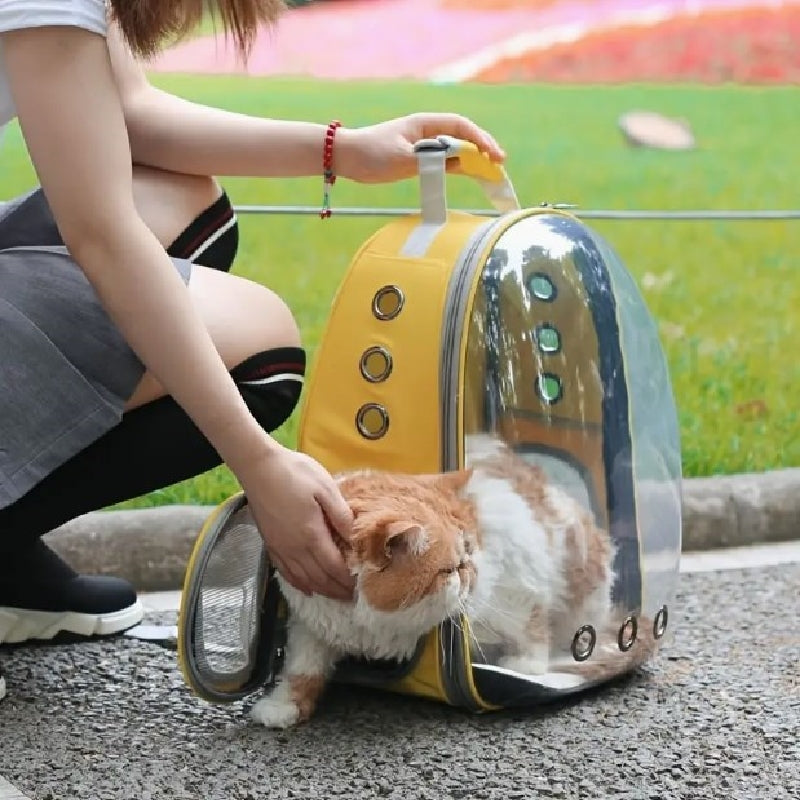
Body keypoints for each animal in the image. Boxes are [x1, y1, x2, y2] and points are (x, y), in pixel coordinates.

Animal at [252, 434, 656, 728]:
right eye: (449, 569)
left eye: (469, 551)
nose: (470, 570)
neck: (369, 623)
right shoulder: (310, 625)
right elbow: (302, 669)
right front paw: (283, 706)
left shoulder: (519, 576)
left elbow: (530, 625)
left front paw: (525, 665)